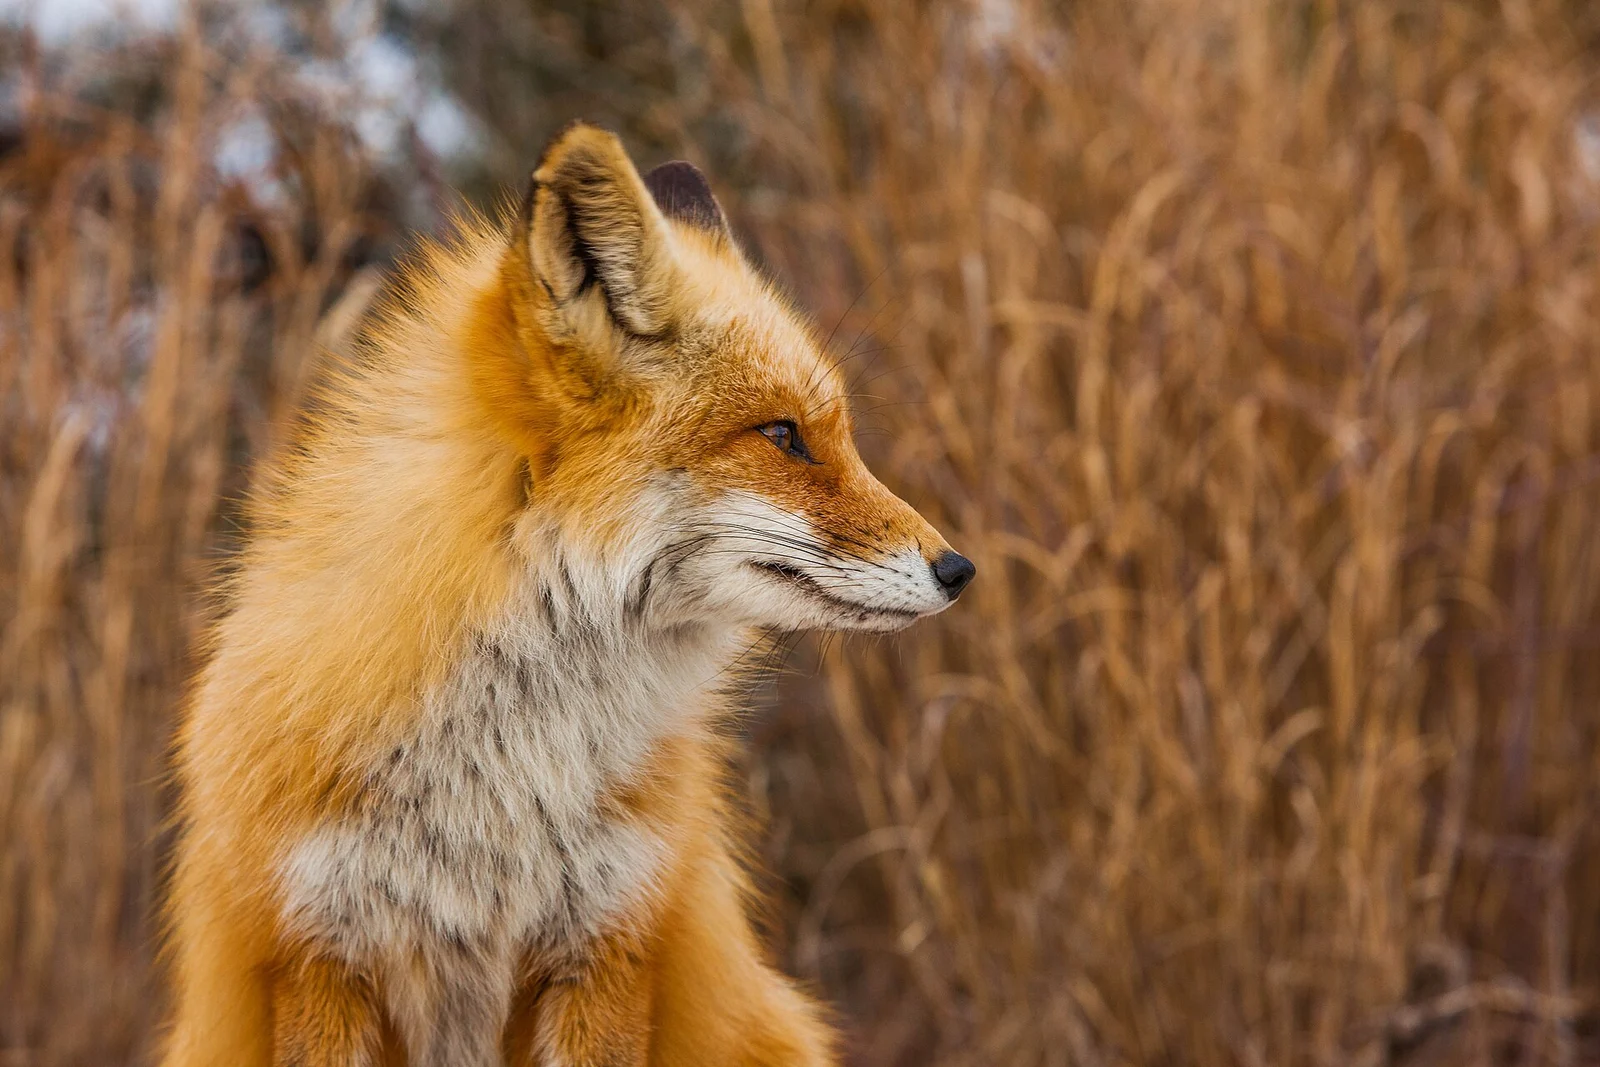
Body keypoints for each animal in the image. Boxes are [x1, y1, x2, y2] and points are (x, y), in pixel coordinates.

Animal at [161, 122, 975, 1067]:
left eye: (833, 433)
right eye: (782, 435)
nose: (959, 569)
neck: (502, 770)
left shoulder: (610, 943)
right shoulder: (314, 955)